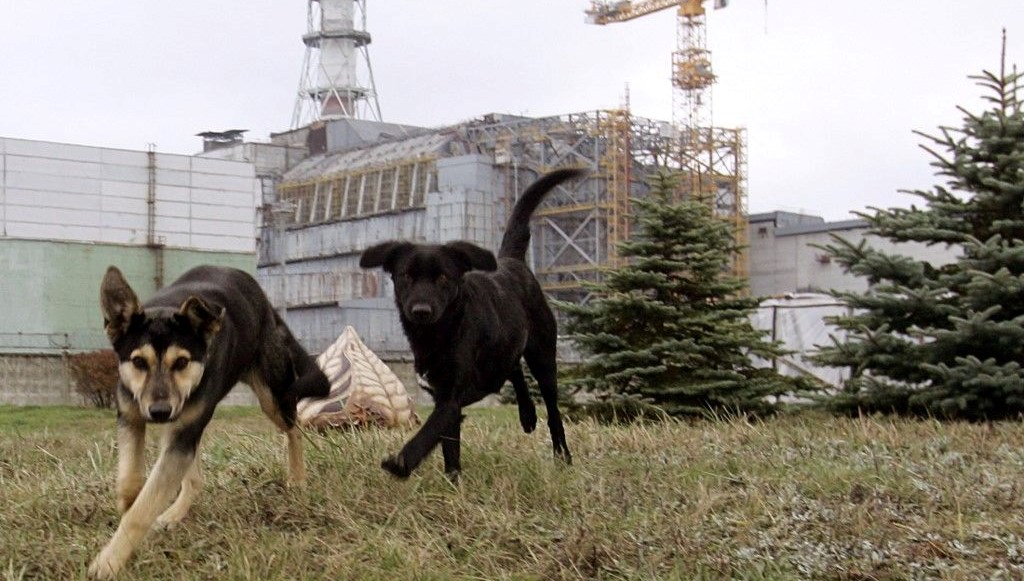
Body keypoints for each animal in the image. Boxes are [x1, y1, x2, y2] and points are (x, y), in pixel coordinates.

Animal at [360, 167, 585, 477]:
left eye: (443, 277)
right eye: (406, 275)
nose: (421, 310)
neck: (439, 333)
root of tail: (511, 261)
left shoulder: (451, 397)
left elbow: (429, 431)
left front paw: (402, 462)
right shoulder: (442, 395)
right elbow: (448, 445)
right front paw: (452, 479)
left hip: (543, 355)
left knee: (552, 408)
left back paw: (562, 455)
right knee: (513, 369)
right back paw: (527, 415)